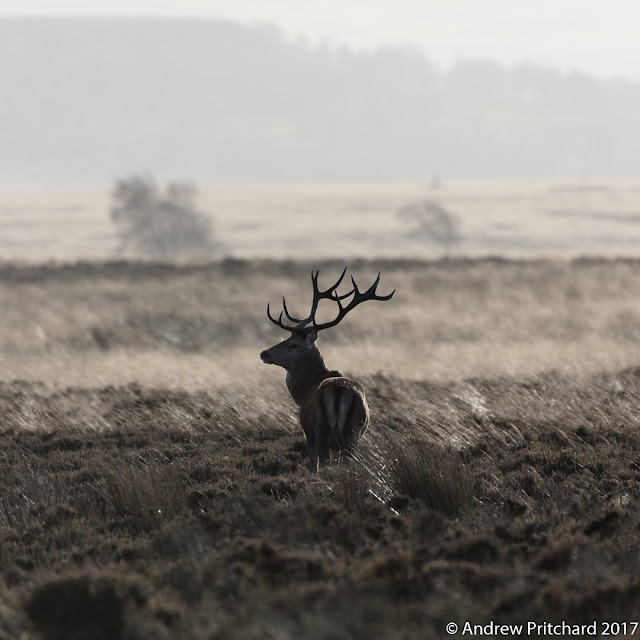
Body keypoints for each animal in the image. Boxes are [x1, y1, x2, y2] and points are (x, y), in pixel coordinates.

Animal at [260, 268, 396, 472]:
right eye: (285, 339)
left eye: (293, 344)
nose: (264, 353)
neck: (304, 391)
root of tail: (340, 390)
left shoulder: (307, 430)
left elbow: (313, 464)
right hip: (352, 432)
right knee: (348, 462)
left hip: (322, 428)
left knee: (322, 463)